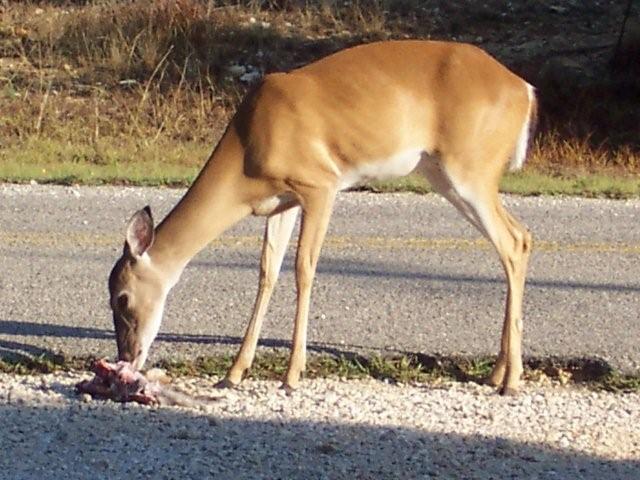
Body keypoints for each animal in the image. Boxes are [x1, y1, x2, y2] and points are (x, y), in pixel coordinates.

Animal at [107, 40, 536, 394]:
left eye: (122, 298)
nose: (126, 357)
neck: (248, 147)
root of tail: (525, 90)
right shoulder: (282, 202)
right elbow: (267, 272)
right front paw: (233, 373)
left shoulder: (319, 184)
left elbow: (304, 268)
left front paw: (292, 376)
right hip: (446, 175)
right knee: (520, 237)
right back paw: (497, 373)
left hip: (470, 168)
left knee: (513, 241)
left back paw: (512, 381)